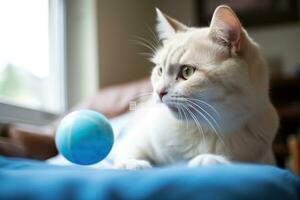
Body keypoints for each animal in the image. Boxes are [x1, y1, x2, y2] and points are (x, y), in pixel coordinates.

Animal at [113, 5, 278, 169]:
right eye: (160, 70)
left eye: (187, 71)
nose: (159, 92)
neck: (204, 130)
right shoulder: (133, 141)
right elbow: (131, 153)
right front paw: (132, 164)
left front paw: (209, 160)